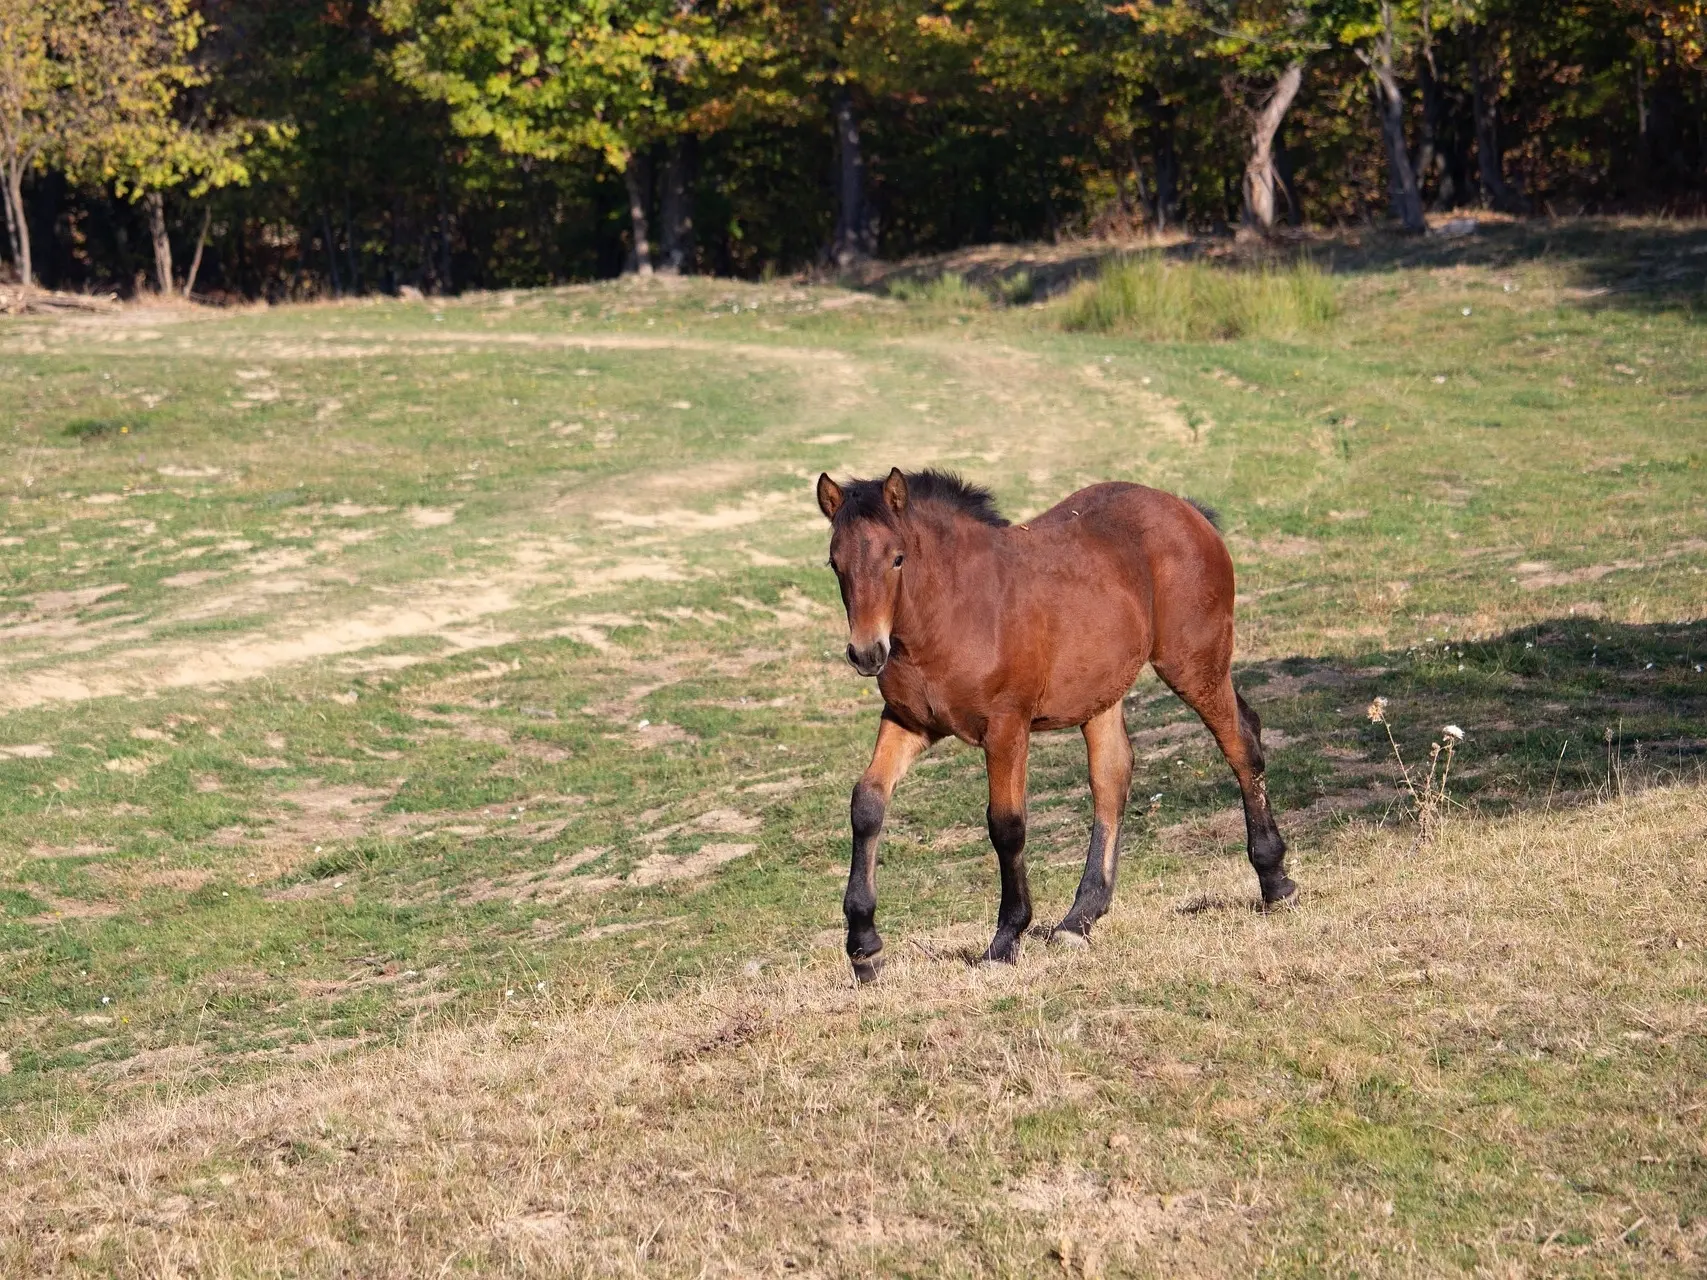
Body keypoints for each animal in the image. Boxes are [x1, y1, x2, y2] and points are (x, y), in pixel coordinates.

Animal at [815, 467, 1290, 983]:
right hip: (1102, 693)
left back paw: (1276, 883)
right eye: (835, 563)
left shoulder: (1006, 726)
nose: (866, 653)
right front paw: (864, 949)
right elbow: (867, 803)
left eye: (897, 558)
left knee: (1241, 742)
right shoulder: (907, 722)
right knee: (1112, 776)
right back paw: (1078, 920)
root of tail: (1187, 511)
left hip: (1194, 665)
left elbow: (1006, 824)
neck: (952, 611)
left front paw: (1006, 939)